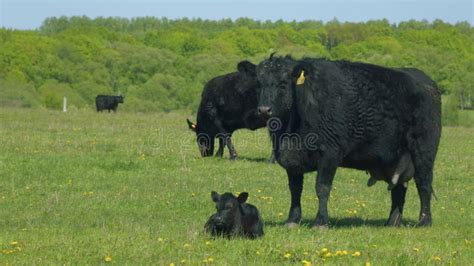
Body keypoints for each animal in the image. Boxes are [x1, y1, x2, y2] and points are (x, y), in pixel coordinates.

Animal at [258, 55, 442, 228]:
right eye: (260, 84)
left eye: (283, 84)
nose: (264, 110)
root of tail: (425, 80)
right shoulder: (291, 159)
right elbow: (295, 190)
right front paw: (292, 220)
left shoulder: (330, 154)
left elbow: (322, 188)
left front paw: (320, 222)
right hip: (397, 158)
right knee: (398, 189)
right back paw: (392, 222)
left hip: (424, 150)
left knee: (423, 183)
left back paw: (424, 221)